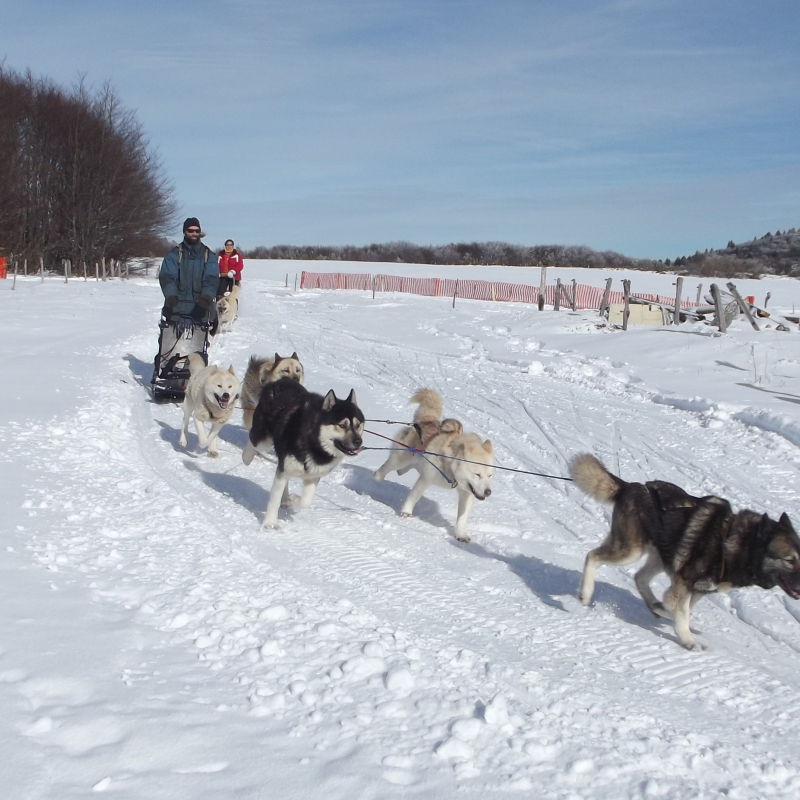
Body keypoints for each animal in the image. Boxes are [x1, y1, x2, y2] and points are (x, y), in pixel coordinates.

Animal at [376, 390, 494, 544]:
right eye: (477, 474)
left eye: (490, 476)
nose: (488, 492)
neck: (449, 468)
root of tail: (426, 420)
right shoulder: (425, 479)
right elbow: (413, 497)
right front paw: (406, 512)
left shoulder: (467, 493)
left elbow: (462, 518)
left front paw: (461, 534)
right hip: (401, 458)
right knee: (389, 465)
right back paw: (378, 475)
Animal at [568, 450, 800, 648]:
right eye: (790, 560)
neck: (732, 544)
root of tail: (629, 487)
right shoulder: (684, 583)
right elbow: (681, 611)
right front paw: (688, 640)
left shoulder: (697, 588)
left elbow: (681, 608)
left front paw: (665, 611)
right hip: (631, 550)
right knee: (593, 556)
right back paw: (585, 594)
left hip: (661, 555)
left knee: (640, 577)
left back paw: (653, 605)